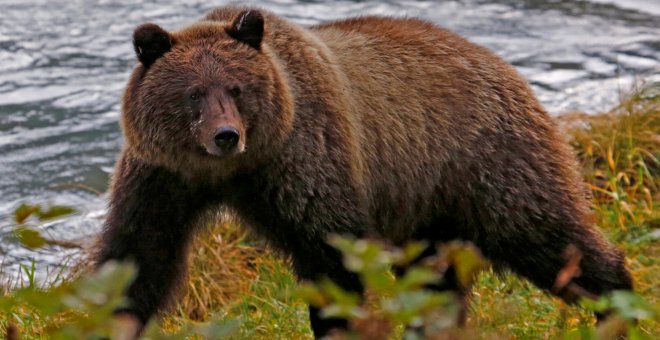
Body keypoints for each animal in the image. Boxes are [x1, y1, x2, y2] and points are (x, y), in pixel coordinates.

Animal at [94, 4, 636, 338]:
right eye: (193, 93)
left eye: (236, 88)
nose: (226, 135)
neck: (234, 170)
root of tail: (503, 65)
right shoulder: (162, 176)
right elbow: (139, 257)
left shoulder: (307, 158)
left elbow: (333, 258)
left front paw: (336, 325)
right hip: (431, 206)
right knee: (435, 285)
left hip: (489, 161)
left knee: (548, 237)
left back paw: (620, 305)